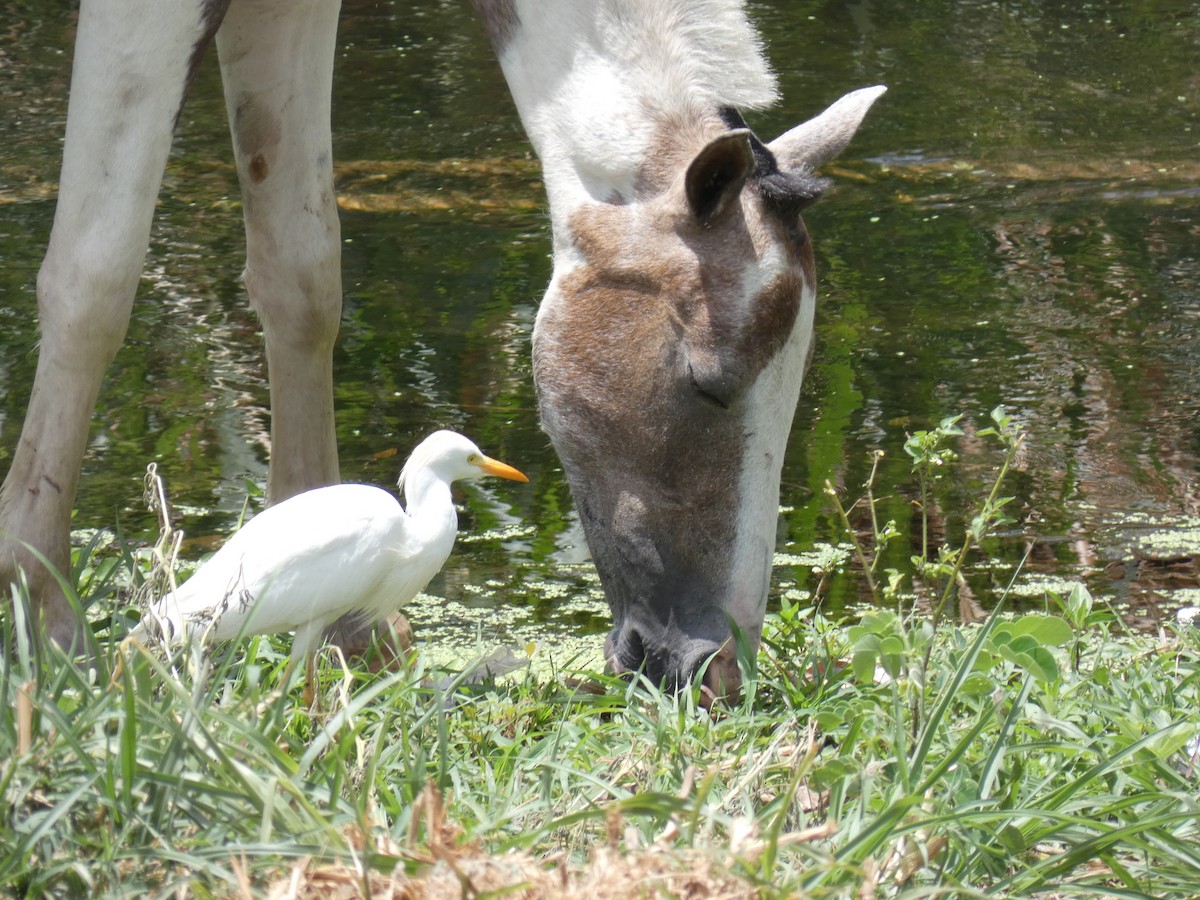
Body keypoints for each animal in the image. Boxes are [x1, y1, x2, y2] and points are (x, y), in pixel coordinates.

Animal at [0, 0, 883, 700]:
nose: (716, 667)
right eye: (708, 383)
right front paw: (45, 620)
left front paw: (345, 620)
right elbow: (95, 274)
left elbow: (302, 275)